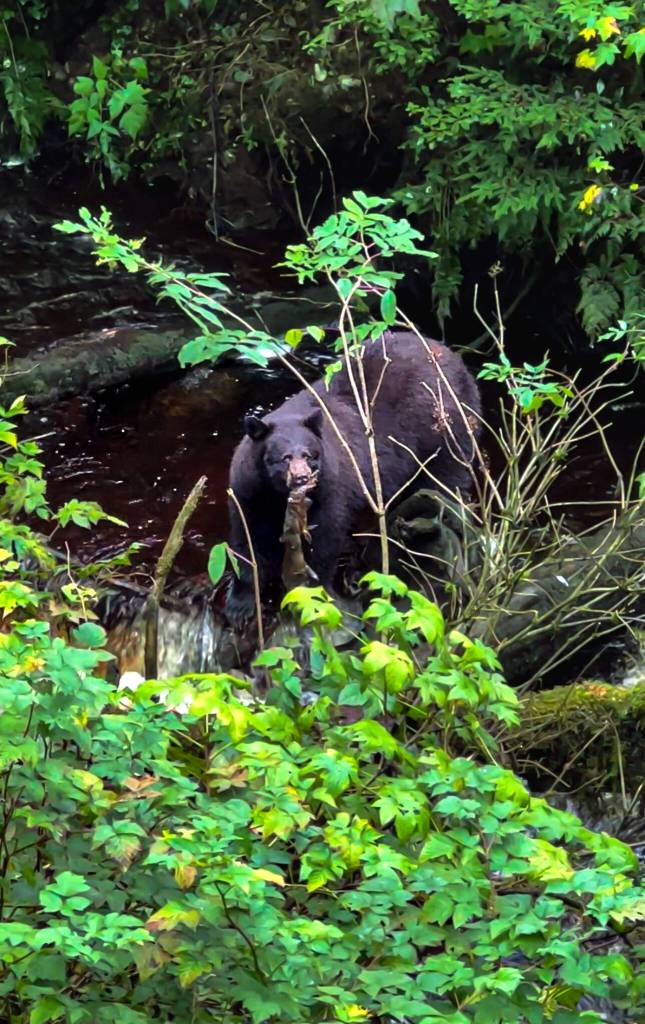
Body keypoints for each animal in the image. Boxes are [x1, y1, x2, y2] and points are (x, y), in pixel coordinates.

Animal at [225, 329, 481, 626]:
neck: (276, 497)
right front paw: (240, 604)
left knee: (447, 478)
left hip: (447, 429)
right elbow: (246, 541)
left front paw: (317, 593)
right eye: (284, 458)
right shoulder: (248, 493)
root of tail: (450, 354)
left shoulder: (332, 488)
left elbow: (326, 537)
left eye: (310, 455)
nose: (302, 479)